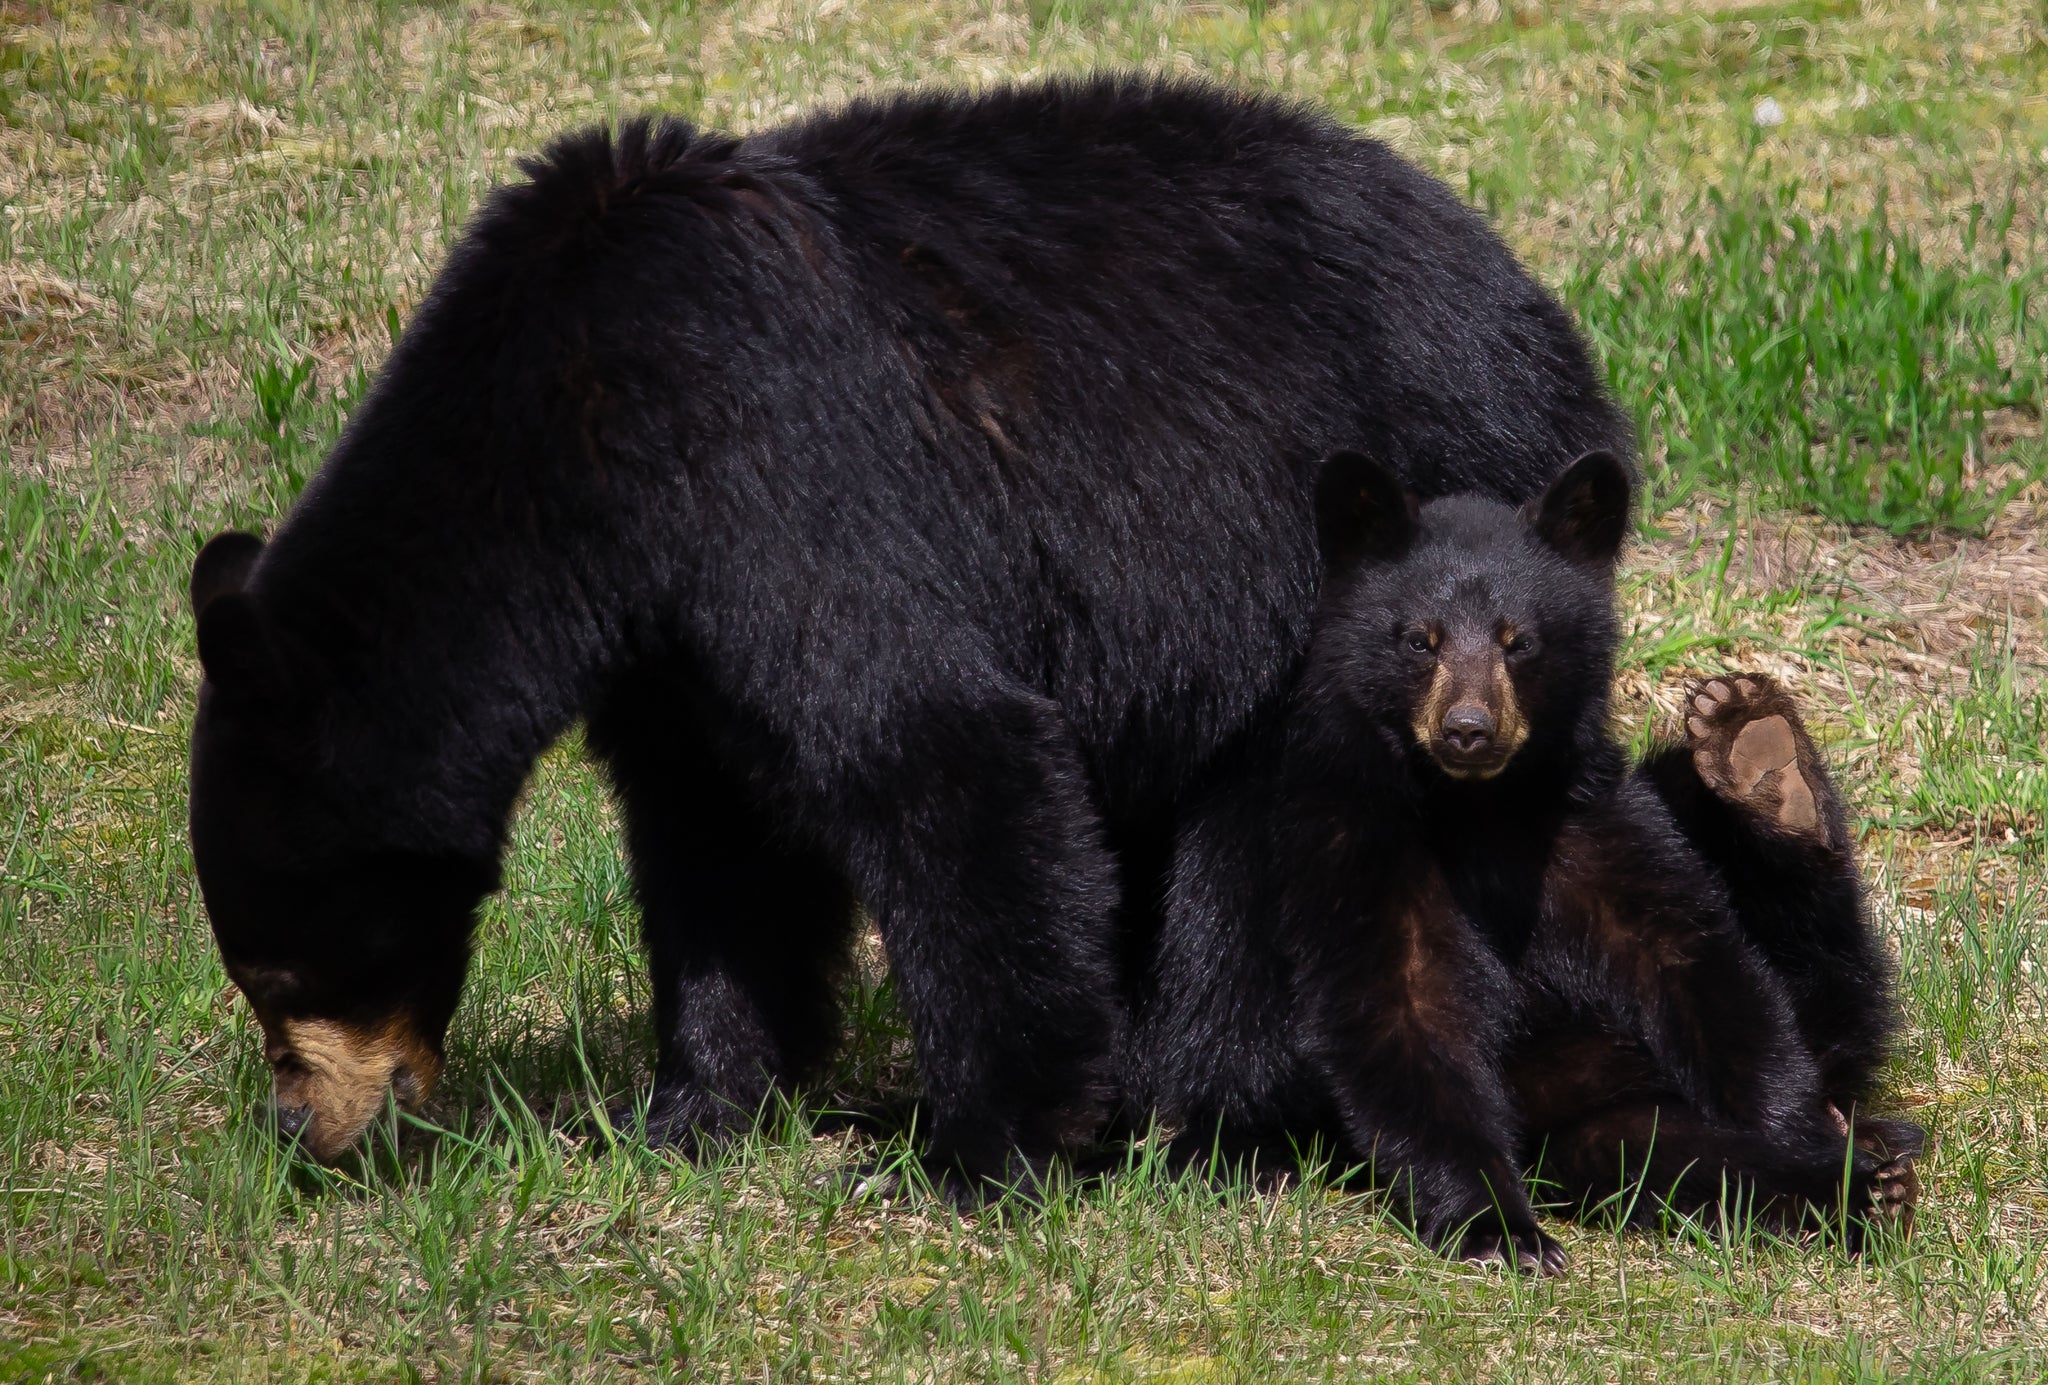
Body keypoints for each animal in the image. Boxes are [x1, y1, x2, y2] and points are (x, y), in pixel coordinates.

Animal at [188, 73, 1630, 1180]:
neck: (571, 437)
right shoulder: (672, 628)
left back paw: (1201, 1111)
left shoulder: (768, 450)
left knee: (1271, 856)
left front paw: (985, 1146)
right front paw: (690, 1108)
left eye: (279, 971)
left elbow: (937, 741)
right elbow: (715, 836)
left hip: (1381, 556)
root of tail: (1551, 319)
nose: (306, 1130)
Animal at [1138, 450, 1916, 1262]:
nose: (1468, 729)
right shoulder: (1349, 847)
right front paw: (1498, 1226)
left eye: (1520, 641)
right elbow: (1400, 1008)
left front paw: (1806, 1133)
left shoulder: (1590, 825)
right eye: (1421, 640)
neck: (1478, 810)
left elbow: (1704, 967)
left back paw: (1757, 752)